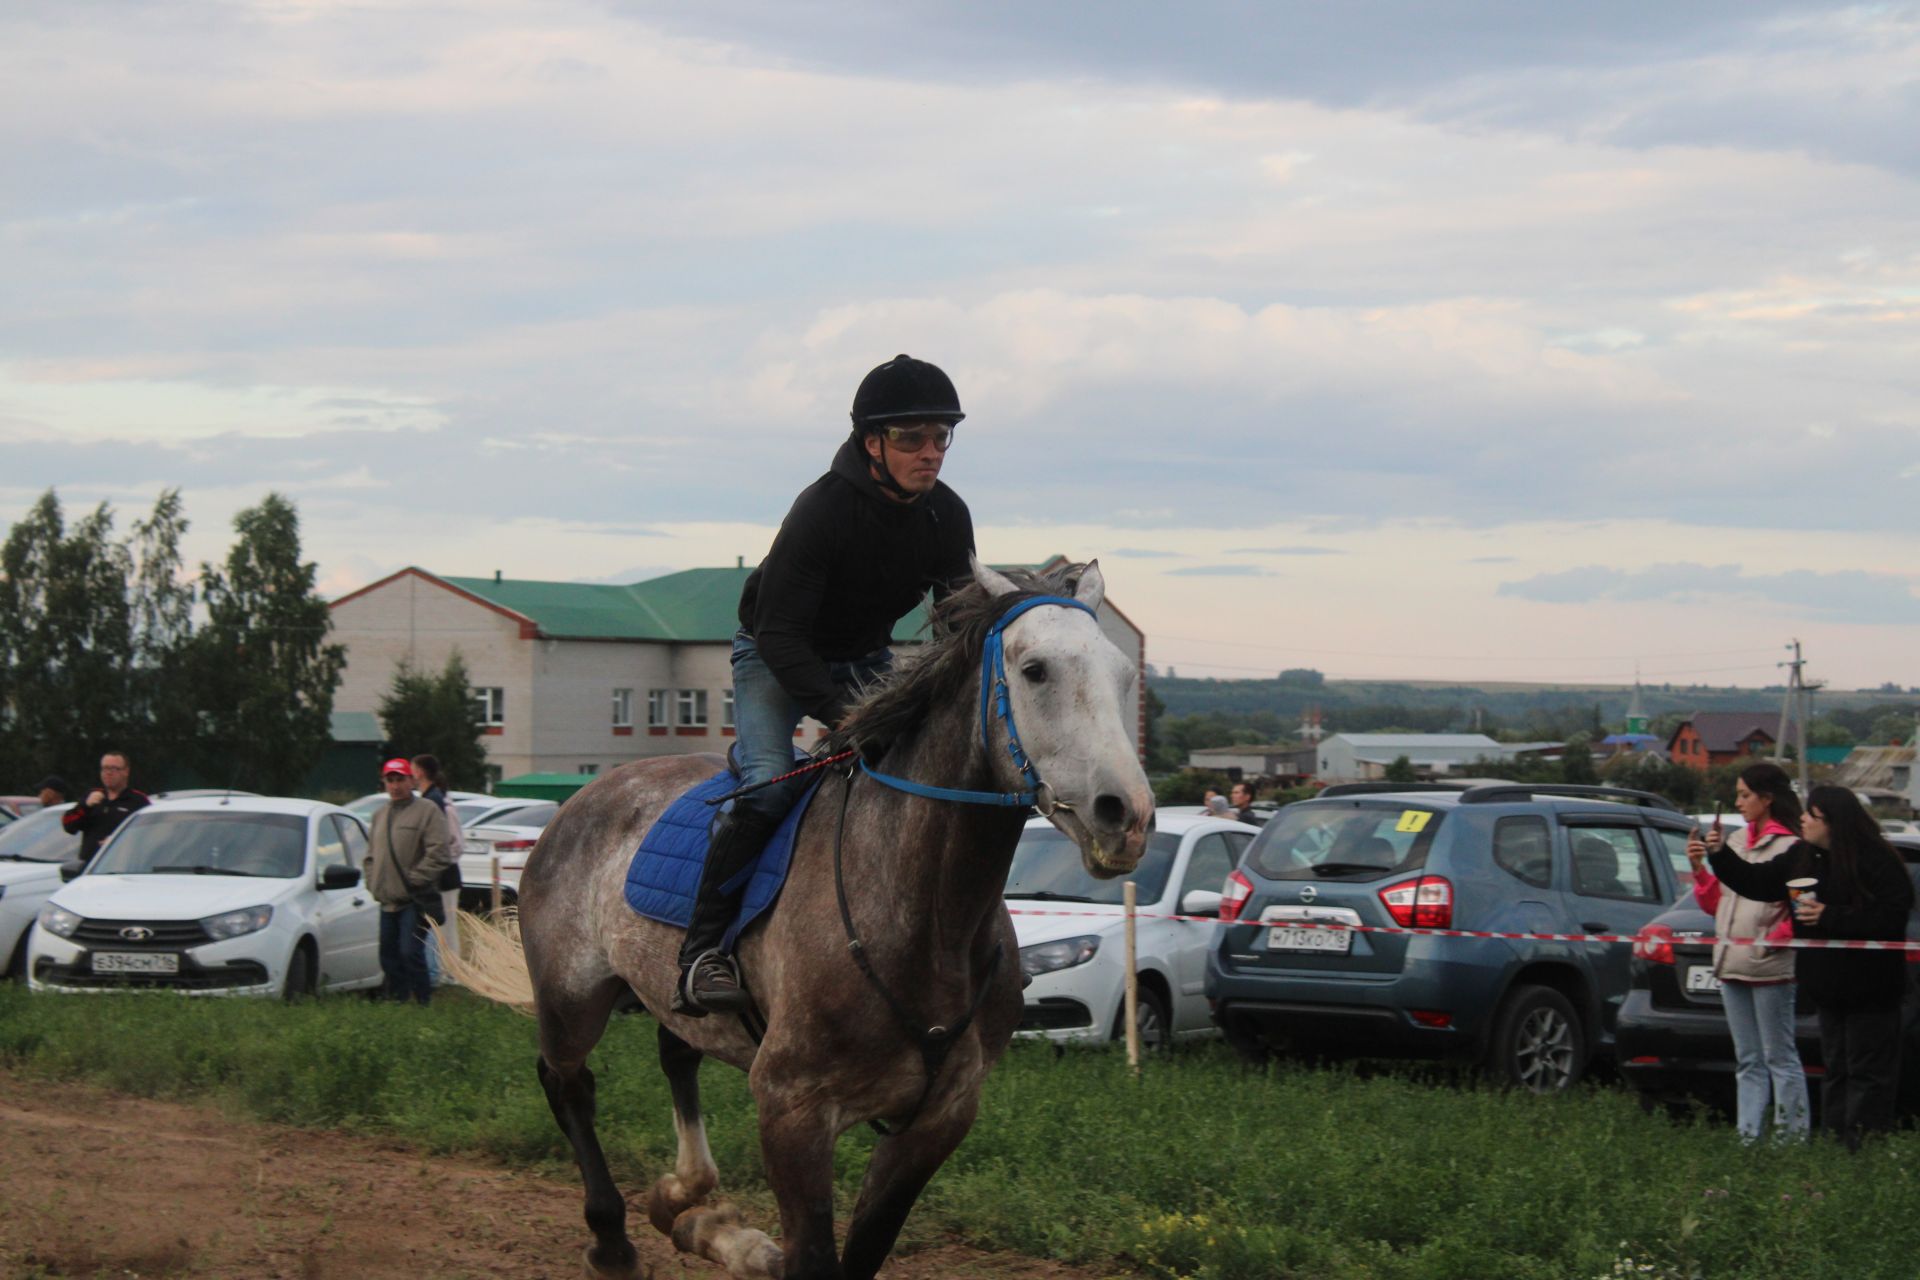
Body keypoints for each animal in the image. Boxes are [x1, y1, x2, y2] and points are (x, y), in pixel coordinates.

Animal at [470, 560, 1144, 1280]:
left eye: (1122, 674)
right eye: (1036, 670)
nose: (1125, 815)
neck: (927, 918)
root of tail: (577, 801)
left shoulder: (938, 1118)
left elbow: (862, 1250)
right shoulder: (792, 1109)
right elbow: (816, 1255)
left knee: (675, 1055)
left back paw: (698, 1212)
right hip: (571, 994)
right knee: (568, 1083)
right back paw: (614, 1238)